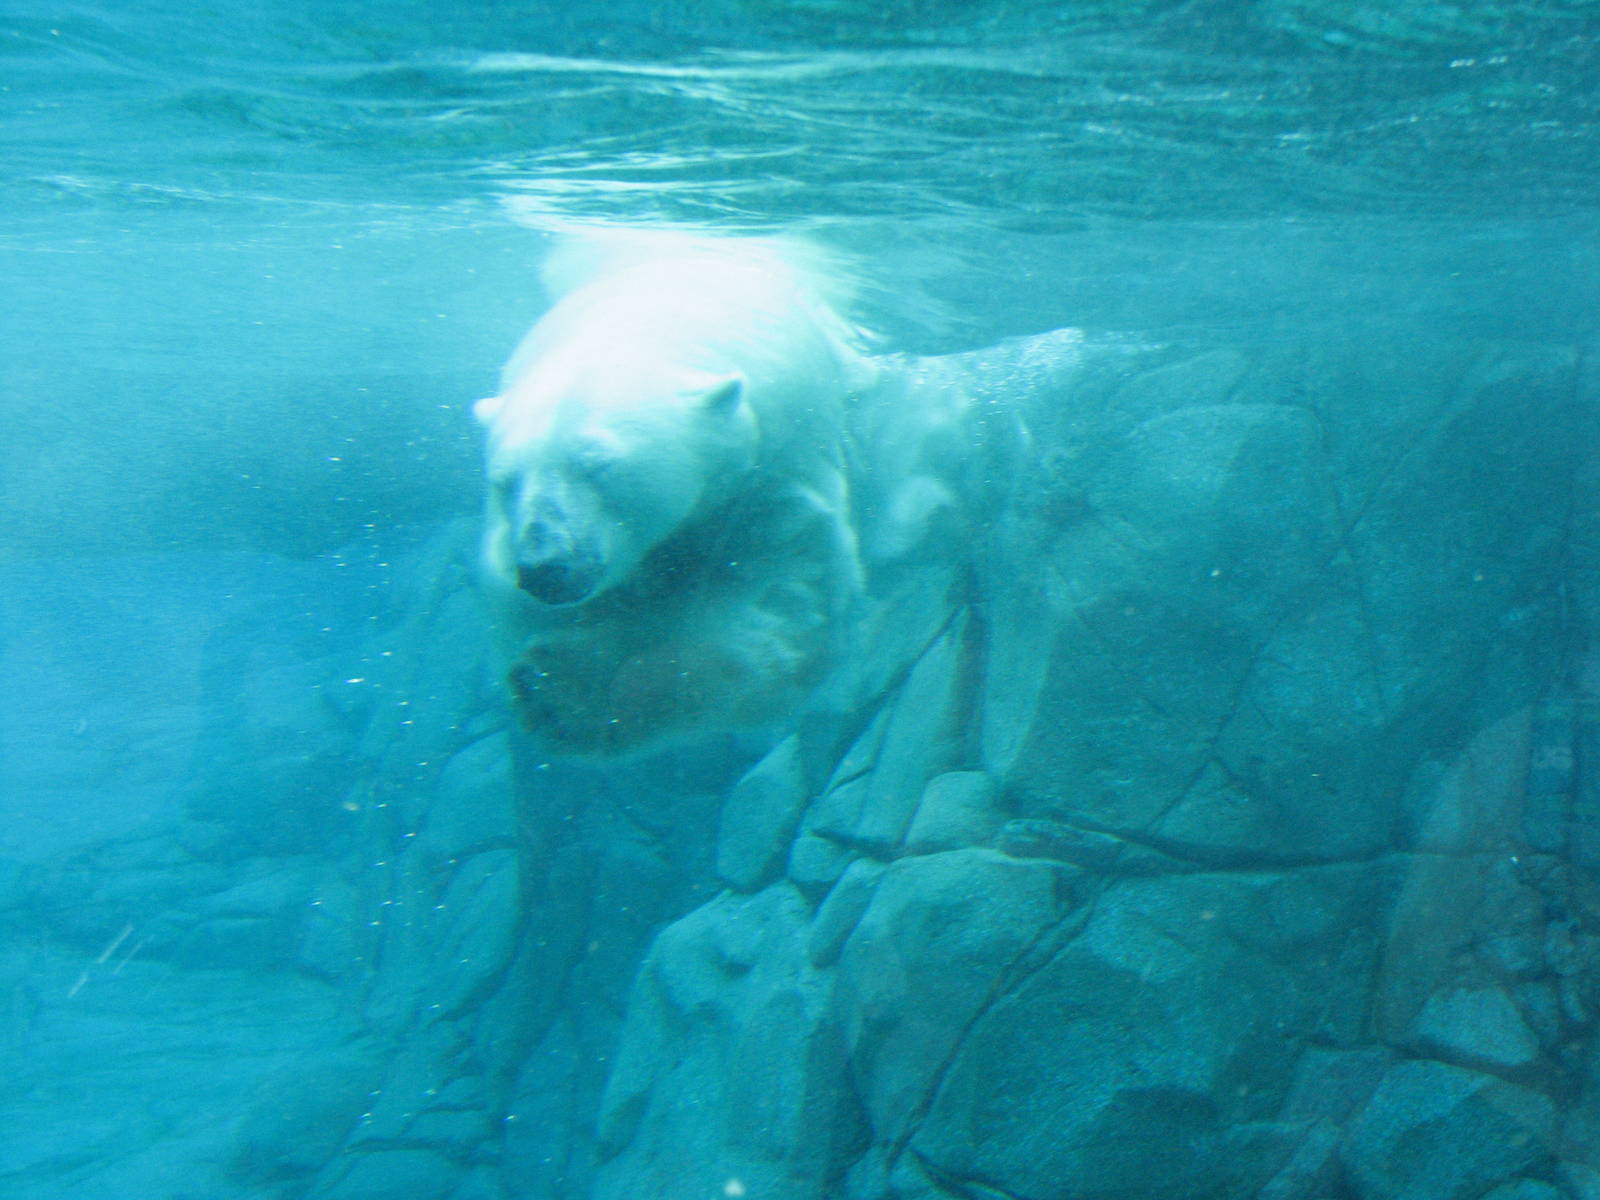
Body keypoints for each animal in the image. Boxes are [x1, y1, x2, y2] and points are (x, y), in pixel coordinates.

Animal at [475, 234, 877, 758]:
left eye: (597, 465)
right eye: (504, 480)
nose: (545, 569)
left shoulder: (774, 463)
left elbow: (782, 596)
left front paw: (561, 695)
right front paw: (551, 684)